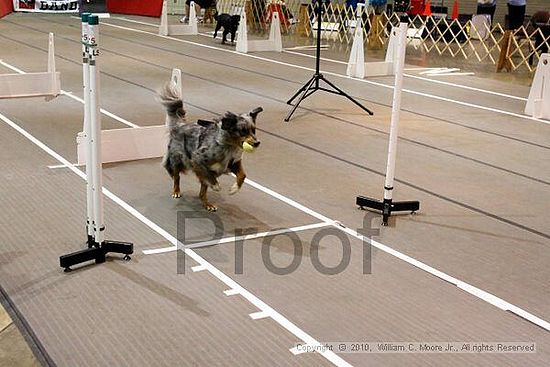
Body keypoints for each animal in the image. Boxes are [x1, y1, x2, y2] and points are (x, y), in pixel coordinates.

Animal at [160, 82, 264, 211]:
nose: (257, 143)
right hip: (177, 159)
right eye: (242, 131)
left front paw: (234, 189)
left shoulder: (234, 163)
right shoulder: (197, 159)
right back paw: (176, 191)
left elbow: (243, 175)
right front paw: (216, 186)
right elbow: (209, 175)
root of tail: (180, 125)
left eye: (253, 130)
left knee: (201, 193)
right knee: (176, 176)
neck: (229, 146)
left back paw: (207, 205)